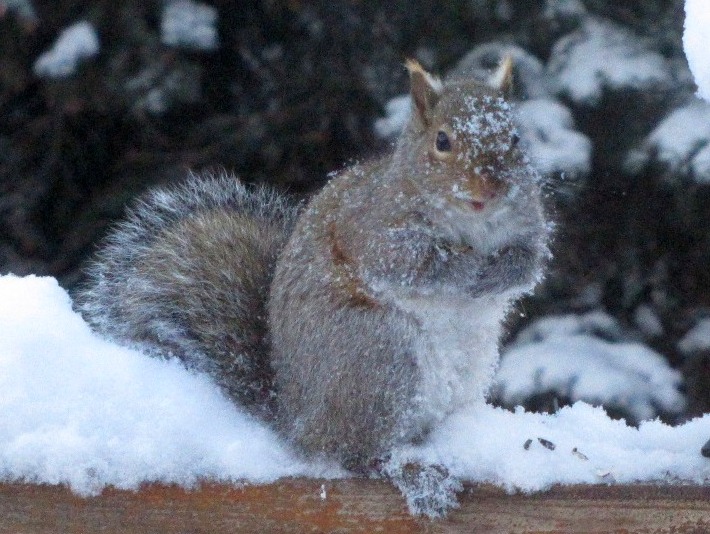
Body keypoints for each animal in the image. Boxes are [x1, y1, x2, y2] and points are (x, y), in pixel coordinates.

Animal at [76, 58, 550, 516]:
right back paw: (412, 473)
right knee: (356, 455)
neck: (473, 224)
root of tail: (296, 421)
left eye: (514, 138)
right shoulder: (373, 230)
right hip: (377, 358)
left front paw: (502, 270)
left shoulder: (529, 225)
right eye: (443, 141)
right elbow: (415, 265)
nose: (489, 189)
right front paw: (466, 267)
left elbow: (528, 262)